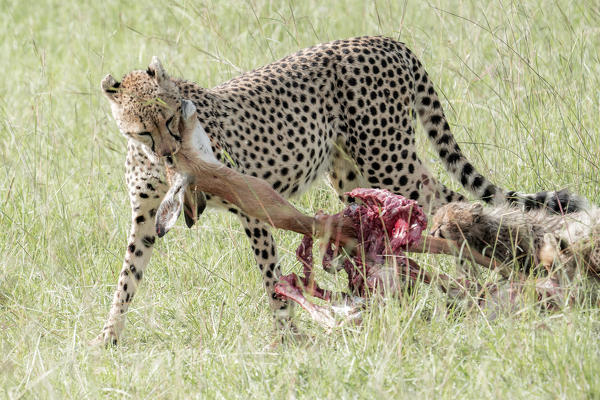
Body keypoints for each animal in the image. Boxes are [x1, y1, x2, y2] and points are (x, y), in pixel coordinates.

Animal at [96, 36, 584, 346]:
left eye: (170, 118)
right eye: (144, 128)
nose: (171, 153)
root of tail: (384, 39)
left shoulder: (250, 202)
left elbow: (271, 275)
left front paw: (288, 336)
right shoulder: (145, 218)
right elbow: (127, 276)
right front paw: (107, 338)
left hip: (387, 157)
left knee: (444, 202)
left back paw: (481, 276)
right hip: (352, 174)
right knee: (399, 216)